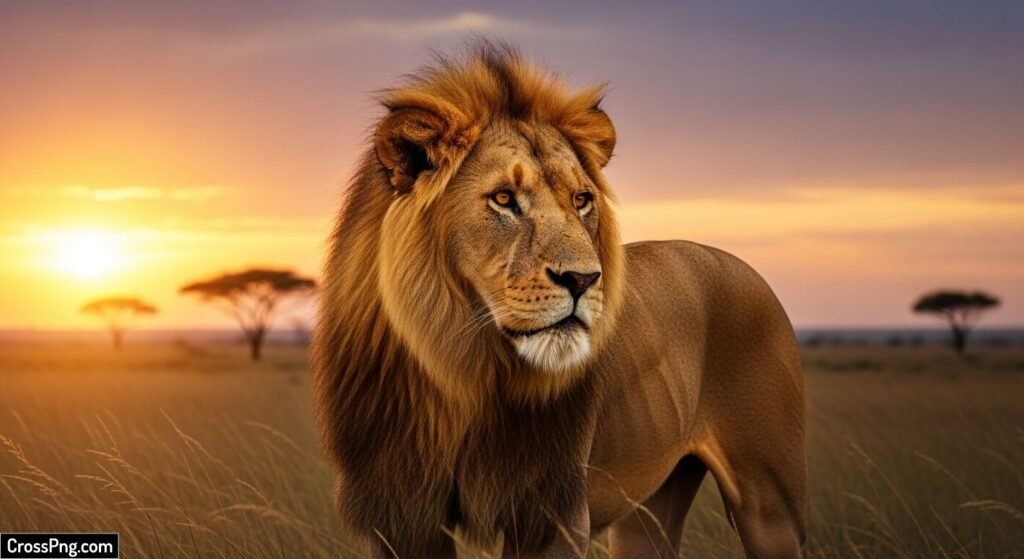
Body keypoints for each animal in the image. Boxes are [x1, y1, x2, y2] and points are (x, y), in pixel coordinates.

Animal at [312, 42, 806, 558]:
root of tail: (742, 265)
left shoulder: (551, 513)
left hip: (769, 500)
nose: (583, 278)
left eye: (581, 200)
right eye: (504, 198)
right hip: (649, 509)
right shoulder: (401, 517)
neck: (463, 373)